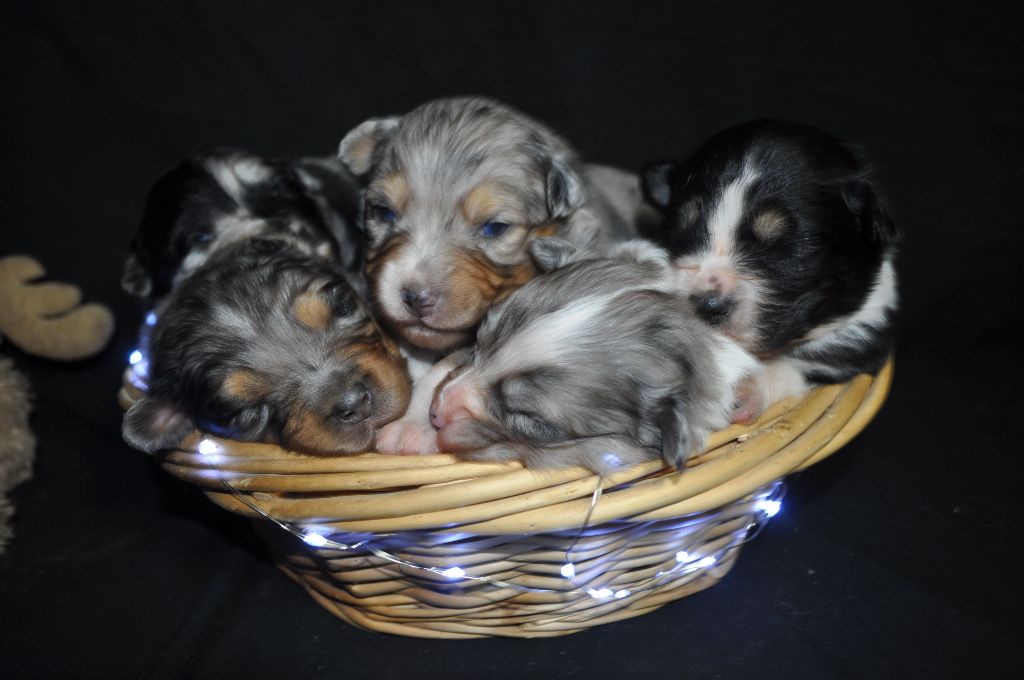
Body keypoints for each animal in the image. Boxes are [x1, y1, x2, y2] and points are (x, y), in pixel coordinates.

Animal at [641, 120, 898, 418]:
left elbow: (809, 360)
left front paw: (747, 387)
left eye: (784, 248)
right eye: (681, 234)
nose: (707, 306)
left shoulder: (865, 332)